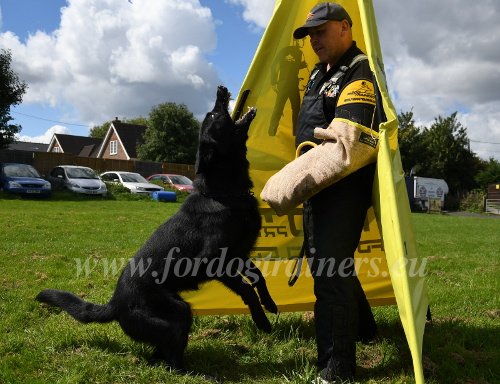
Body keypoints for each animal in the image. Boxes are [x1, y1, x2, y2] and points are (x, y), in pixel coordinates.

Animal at [36, 85, 278, 372]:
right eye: (213, 115)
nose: (221, 89)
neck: (223, 194)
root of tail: (115, 304)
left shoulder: (239, 254)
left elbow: (258, 277)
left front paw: (270, 304)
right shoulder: (214, 262)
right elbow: (246, 289)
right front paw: (262, 321)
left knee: (159, 354)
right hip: (178, 311)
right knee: (170, 356)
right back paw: (189, 371)